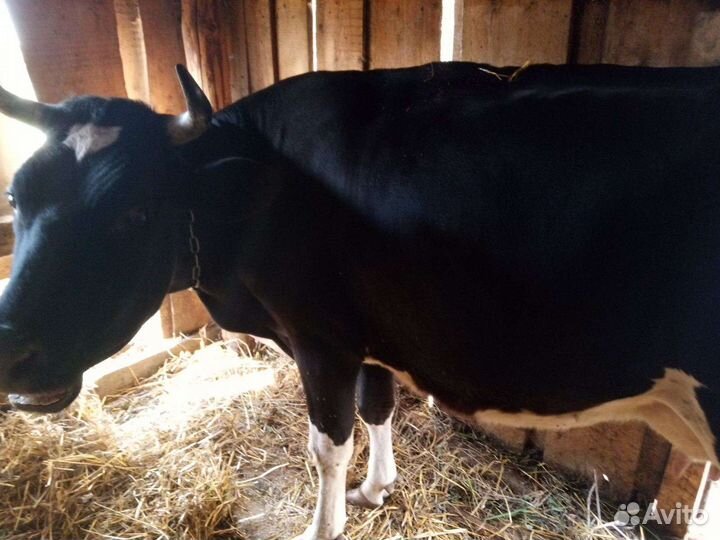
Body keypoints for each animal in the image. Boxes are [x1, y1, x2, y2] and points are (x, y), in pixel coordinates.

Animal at [0, 61, 719, 539]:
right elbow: (378, 410)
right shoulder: (374, 333)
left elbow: (329, 443)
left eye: (136, 213)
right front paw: (376, 489)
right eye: (15, 196)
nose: (12, 350)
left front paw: (324, 526)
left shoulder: (321, 337)